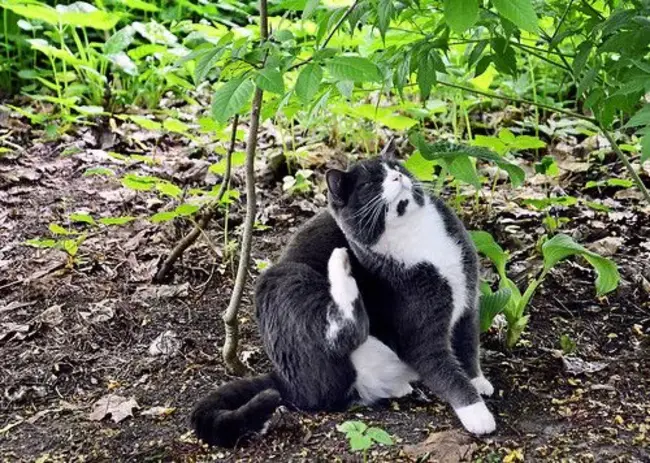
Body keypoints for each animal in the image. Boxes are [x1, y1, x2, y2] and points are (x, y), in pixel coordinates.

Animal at [190, 146, 494, 450]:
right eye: (371, 184)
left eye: (396, 167)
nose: (397, 176)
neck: (417, 235)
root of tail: (284, 378)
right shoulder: (419, 335)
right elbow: (445, 371)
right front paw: (477, 413)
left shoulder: (468, 305)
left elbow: (467, 345)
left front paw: (477, 381)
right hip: (284, 279)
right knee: (342, 336)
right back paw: (340, 265)